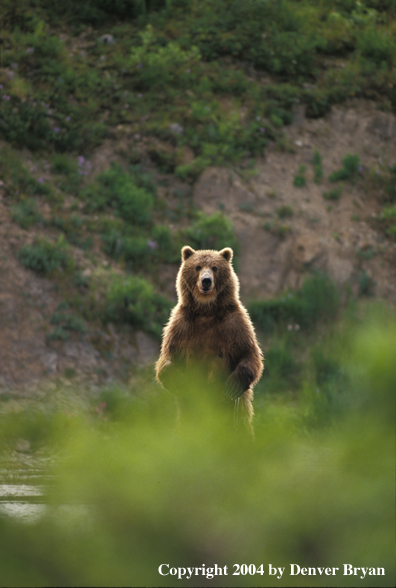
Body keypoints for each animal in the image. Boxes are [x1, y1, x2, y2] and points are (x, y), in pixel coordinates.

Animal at [155, 245, 262, 432]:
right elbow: (168, 357)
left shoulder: (235, 324)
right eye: (197, 267)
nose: (206, 281)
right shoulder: (180, 326)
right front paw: (182, 381)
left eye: (215, 268)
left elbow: (249, 353)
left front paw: (233, 385)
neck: (207, 310)